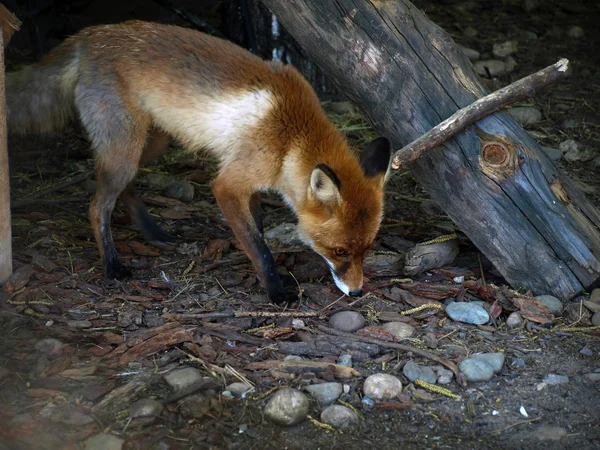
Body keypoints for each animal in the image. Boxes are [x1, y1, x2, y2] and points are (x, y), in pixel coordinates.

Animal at [8, 20, 394, 302]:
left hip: (152, 142)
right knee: (97, 206)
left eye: (367, 249)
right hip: (126, 147)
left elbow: (256, 232)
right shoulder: (228, 184)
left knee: (125, 187)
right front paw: (275, 291)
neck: (290, 136)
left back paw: (153, 232)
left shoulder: (249, 184)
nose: (357, 292)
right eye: (340, 251)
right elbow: (259, 246)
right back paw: (113, 266)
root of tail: (90, 34)